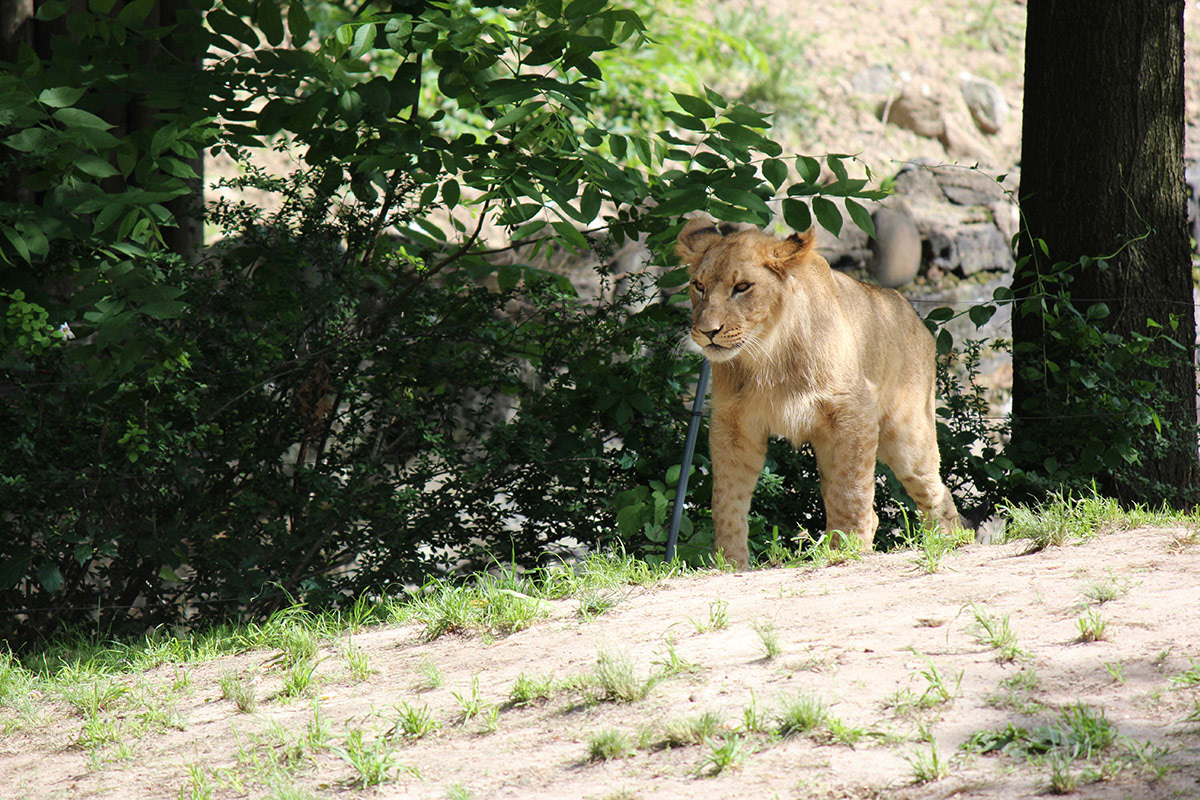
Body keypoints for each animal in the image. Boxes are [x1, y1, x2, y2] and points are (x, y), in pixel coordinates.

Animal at [675, 216, 963, 568]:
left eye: (742, 287)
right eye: (698, 286)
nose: (707, 332)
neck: (767, 354)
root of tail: (914, 315)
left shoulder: (855, 412)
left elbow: (851, 490)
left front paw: (852, 550)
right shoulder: (733, 425)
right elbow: (727, 499)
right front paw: (730, 563)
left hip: (908, 434)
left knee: (936, 492)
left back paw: (951, 542)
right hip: (829, 445)